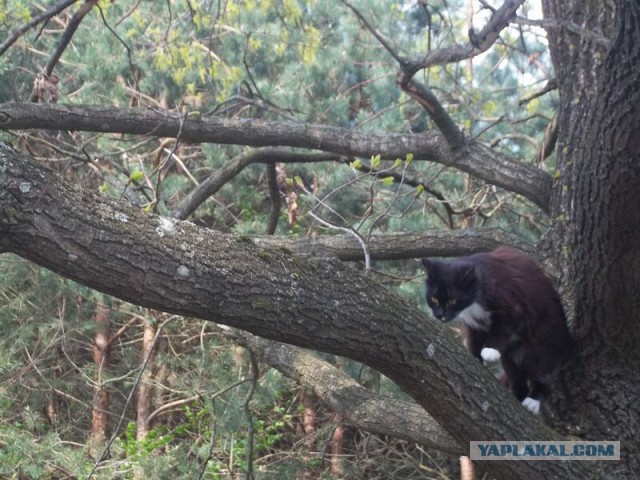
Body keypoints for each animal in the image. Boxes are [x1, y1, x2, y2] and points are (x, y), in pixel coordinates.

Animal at [422, 248, 572, 412]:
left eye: (452, 300)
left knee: (542, 370)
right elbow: (474, 340)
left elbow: (502, 328)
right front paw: (475, 357)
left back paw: (533, 400)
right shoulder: (474, 325)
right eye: (434, 298)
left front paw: (489, 351)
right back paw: (516, 394)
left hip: (542, 340)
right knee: (516, 374)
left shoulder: (512, 306)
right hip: (510, 355)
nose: (440, 314)